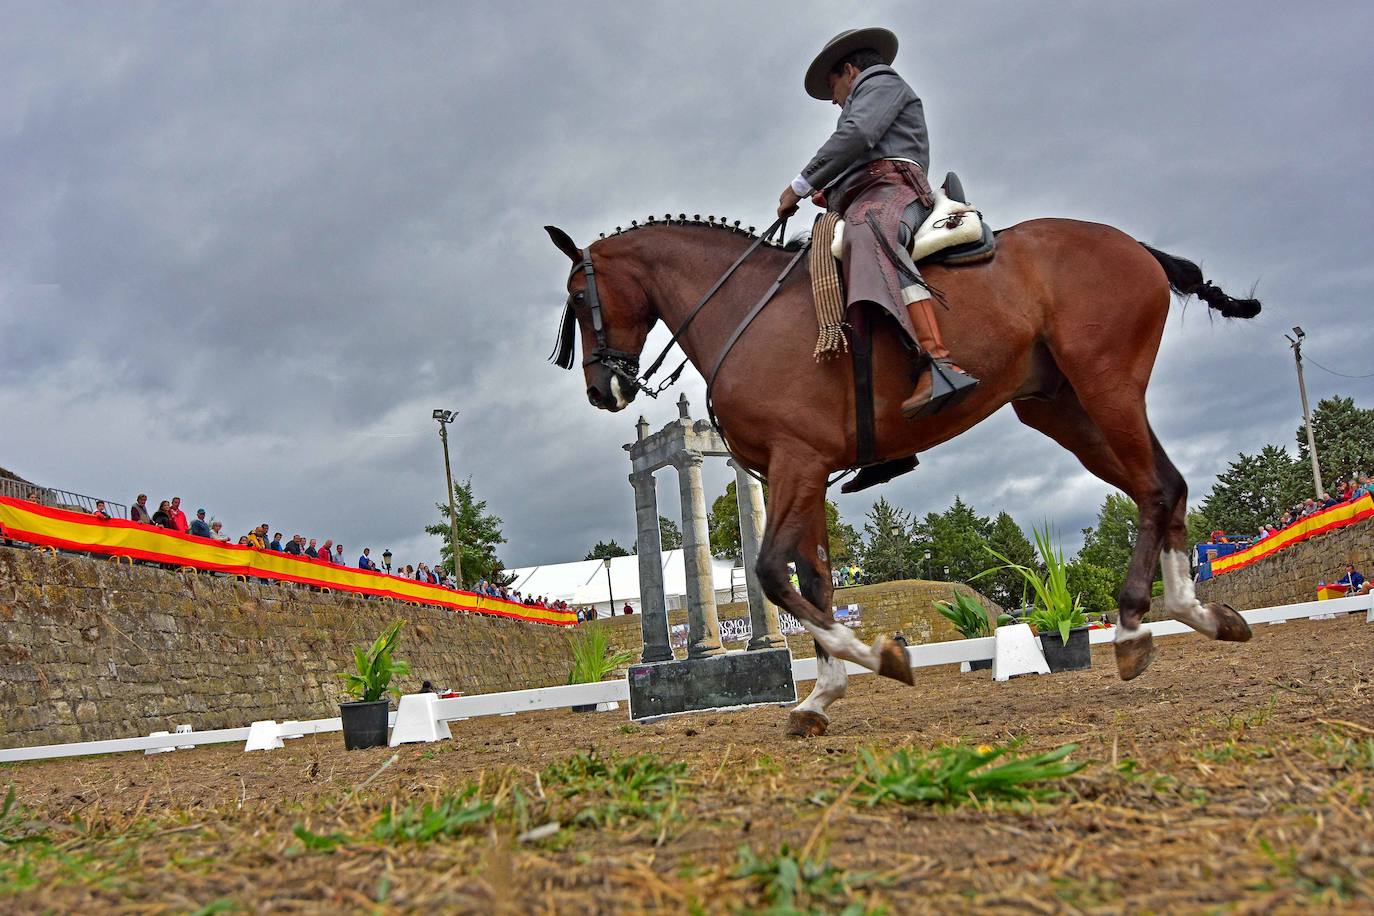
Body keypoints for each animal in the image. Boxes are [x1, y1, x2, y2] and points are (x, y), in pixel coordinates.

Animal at [544, 215, 1258, 736]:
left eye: (579, 297)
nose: (603, 391)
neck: (743, 312)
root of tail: (1130, 244)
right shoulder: (797, 470)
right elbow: (813, 578)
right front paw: (821, 696)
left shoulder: (797, 461)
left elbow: (772, 571)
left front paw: (878, 656)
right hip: (1062, 408)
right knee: (1161, 487)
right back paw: (1188, 612)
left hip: (1106, 387)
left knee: (1157, 487)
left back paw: (1139, 624)